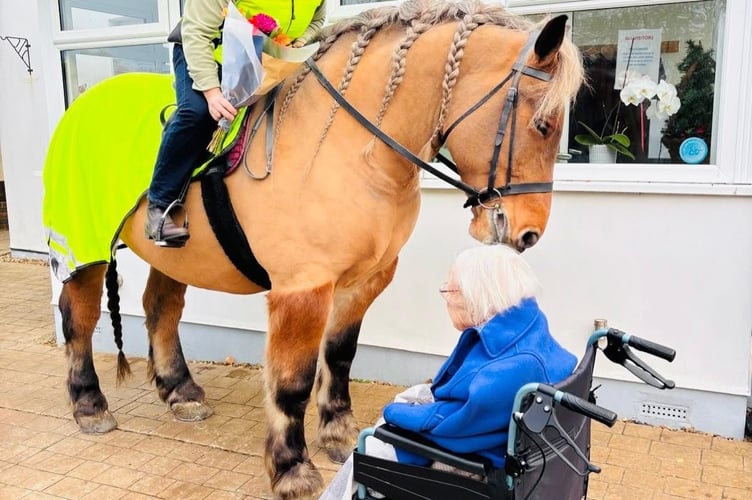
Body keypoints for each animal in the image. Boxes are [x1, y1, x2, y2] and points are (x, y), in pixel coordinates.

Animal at [50, 1, 583, 498]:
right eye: (541, 123)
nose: (527, 233)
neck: (346, 149)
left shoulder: (367, 279)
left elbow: (341, 357)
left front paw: (339, 437)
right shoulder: (301, 290)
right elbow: (293, 382)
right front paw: (291, 467)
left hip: (175, 254)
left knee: (161, 309)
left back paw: (181, 391)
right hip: (84, 246)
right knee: (80, 318)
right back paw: (89, 404)